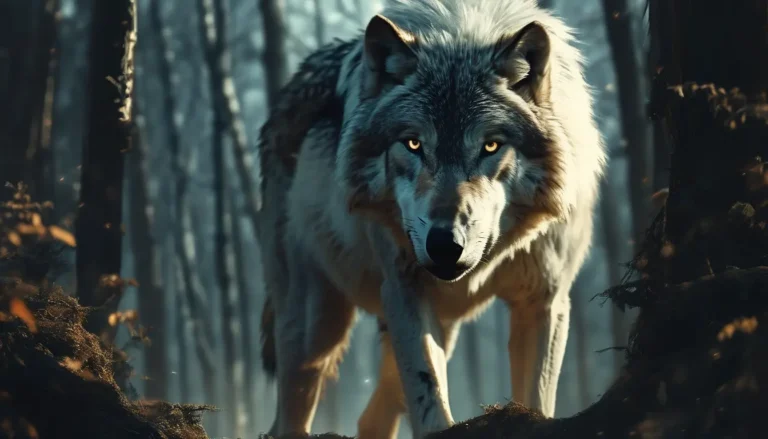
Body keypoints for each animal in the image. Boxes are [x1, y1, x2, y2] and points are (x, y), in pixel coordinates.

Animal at [256, 0, 606, 437]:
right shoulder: (403, 288)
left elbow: (537, 402)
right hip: (315, 325)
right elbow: (430, 402)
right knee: (289, 415)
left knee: (371, 417)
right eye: (413, 144)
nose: (443, 243)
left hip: (438, 326)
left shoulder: (544, 301)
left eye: (491, 146)